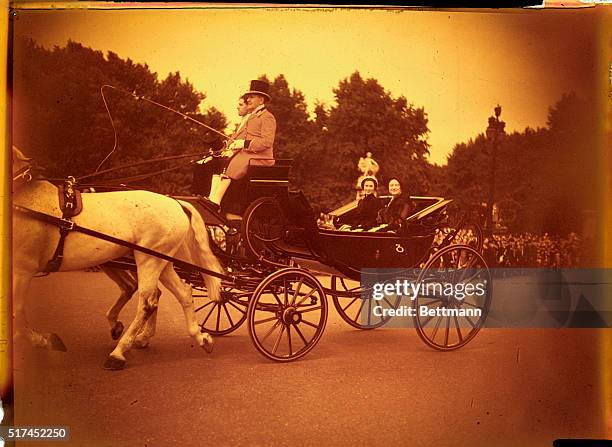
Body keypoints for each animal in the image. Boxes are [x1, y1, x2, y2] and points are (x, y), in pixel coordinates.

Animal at [13, 147, 224, 372]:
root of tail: (175, 202)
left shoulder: (22, 270)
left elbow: (17, 312)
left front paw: (44, 340)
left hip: (149, 260)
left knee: (147, 302)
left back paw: (119, 353)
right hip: (161, 261)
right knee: (182, 293)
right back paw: (199, 337)